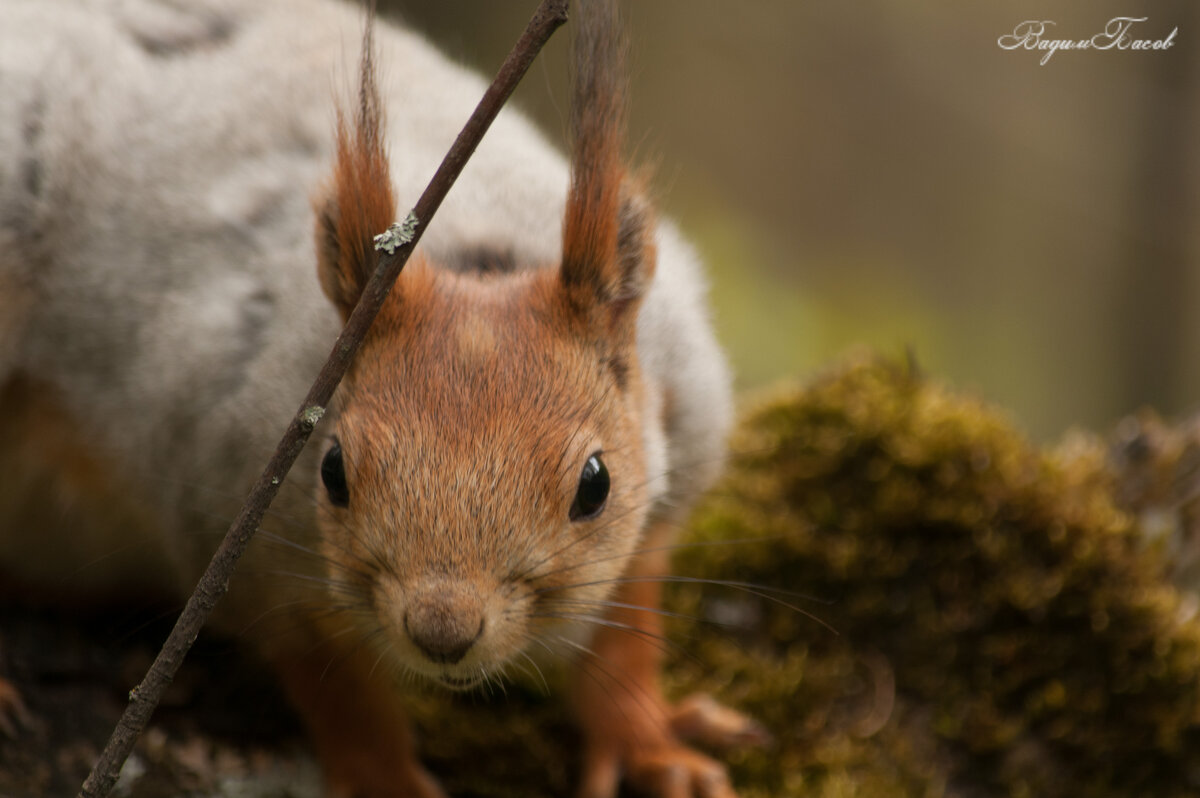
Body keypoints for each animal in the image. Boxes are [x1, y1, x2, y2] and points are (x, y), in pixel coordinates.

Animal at [0, 1, 763, 796]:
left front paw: (653, 745)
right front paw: (385, 776)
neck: (475, 253)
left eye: (596, 484)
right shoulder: (237, 535)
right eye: (332, 470)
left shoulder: (674, 468)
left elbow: (624, 635)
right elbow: (336, 685)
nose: (443, 632)